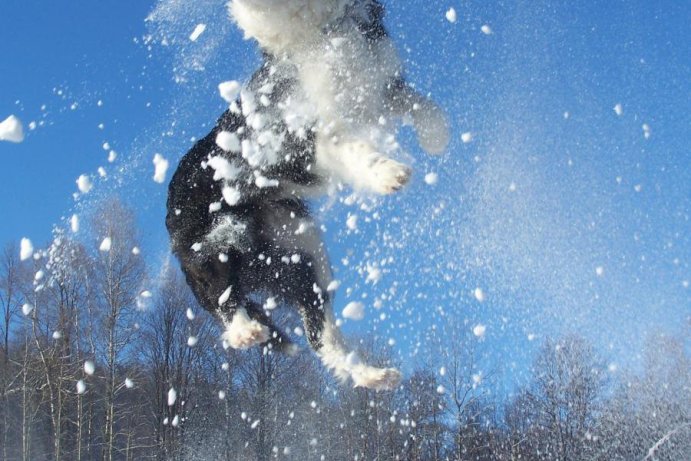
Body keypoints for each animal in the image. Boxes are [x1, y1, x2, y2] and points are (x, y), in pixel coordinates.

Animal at [166, 0, 448, 390]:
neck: (317, 34)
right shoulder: (305, 137)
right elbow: (354, 149)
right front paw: (387, 173)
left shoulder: (380, 83)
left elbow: (420, 103)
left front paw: (436, 136)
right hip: (217, 237)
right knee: (218, 289)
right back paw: (244, 331)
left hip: (303, 253)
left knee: (320, 336)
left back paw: (373, 375)